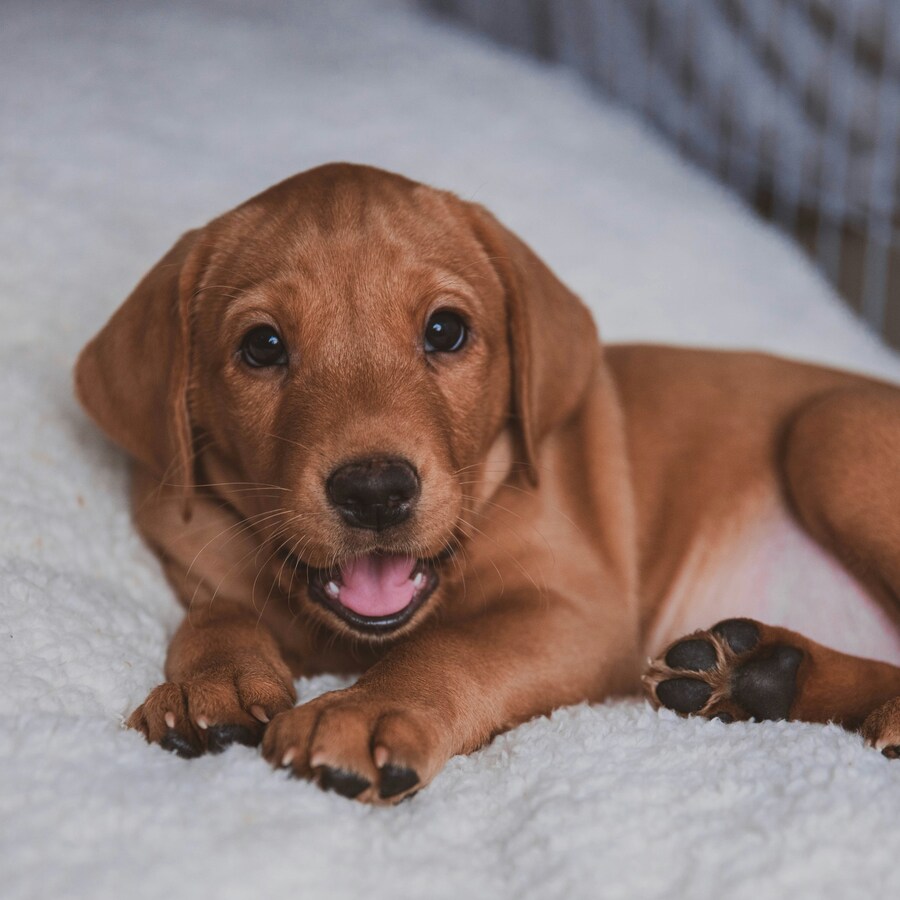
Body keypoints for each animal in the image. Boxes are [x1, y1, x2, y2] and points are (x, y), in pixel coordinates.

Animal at [74, 162, 900, 800]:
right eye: (262, 346)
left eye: (445, 331)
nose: (374, 491)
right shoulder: (195, 548)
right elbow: (215, 612)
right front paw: (208, 683)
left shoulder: (576, 612)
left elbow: (450, 649)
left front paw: (366, 712)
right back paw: (758, 675)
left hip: (831, 431)